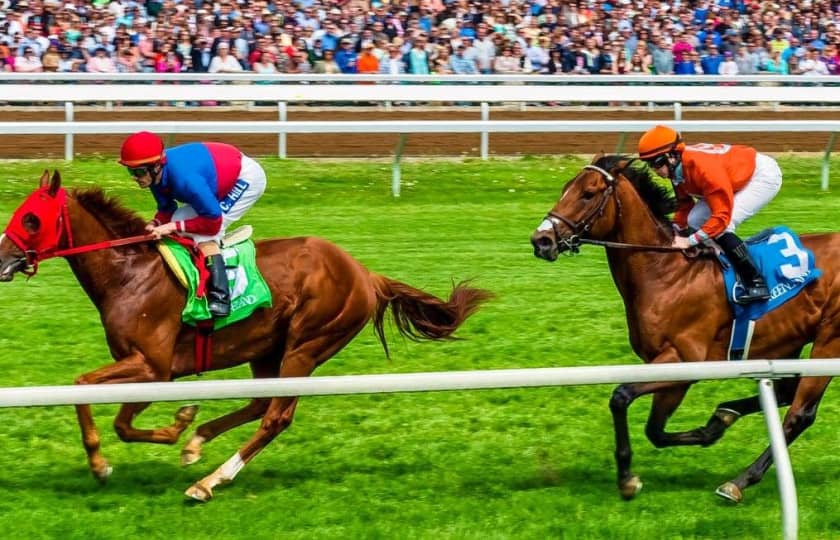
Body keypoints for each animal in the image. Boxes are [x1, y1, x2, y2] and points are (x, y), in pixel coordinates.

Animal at [0, 170, 492, 502]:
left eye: (31, 219)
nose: (3, 260)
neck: (130, 275)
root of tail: (364, 273)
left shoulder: (153, 366)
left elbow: (92, 396)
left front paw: (105, 464)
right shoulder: (149, 369)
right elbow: (114, 414)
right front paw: (179, 426)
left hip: (307, 345)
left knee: (276, 416)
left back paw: (208, 481)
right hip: (266, 347)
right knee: (259, 402)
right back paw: (198, 443)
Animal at [532, 155, 840, 502]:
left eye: (588, 194)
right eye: (564, 188)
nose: (541, 240)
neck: (665, 272)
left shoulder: (683, 361)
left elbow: (622, 398)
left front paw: (627, 479)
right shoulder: (665, 367)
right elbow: (654, 430)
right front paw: (714, 426)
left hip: (830, 340)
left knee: (800, 413)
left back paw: (739, 481)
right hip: (789, 341)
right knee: (787, 392)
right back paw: (727, 414)